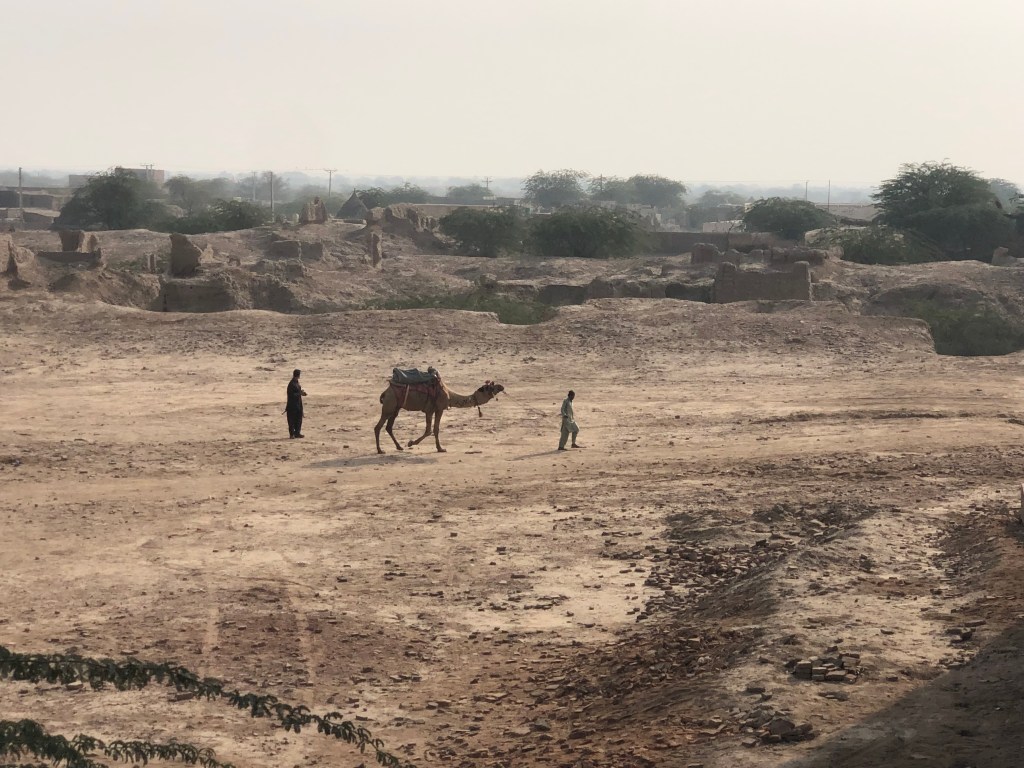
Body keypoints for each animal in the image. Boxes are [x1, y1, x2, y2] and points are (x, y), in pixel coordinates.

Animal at [374, 379, 504, 454]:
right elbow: (430, 430)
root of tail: (386, 392)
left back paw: (399, 447)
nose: (501, 386)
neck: (449, 395)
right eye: (489, 388)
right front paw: (411, 443)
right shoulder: (433, 410)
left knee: (389, 427)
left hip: (396, 408)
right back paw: (380, 450)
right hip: (389, 405)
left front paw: (440, 448)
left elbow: (434, 429)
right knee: (378, 427)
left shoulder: (436, 410)